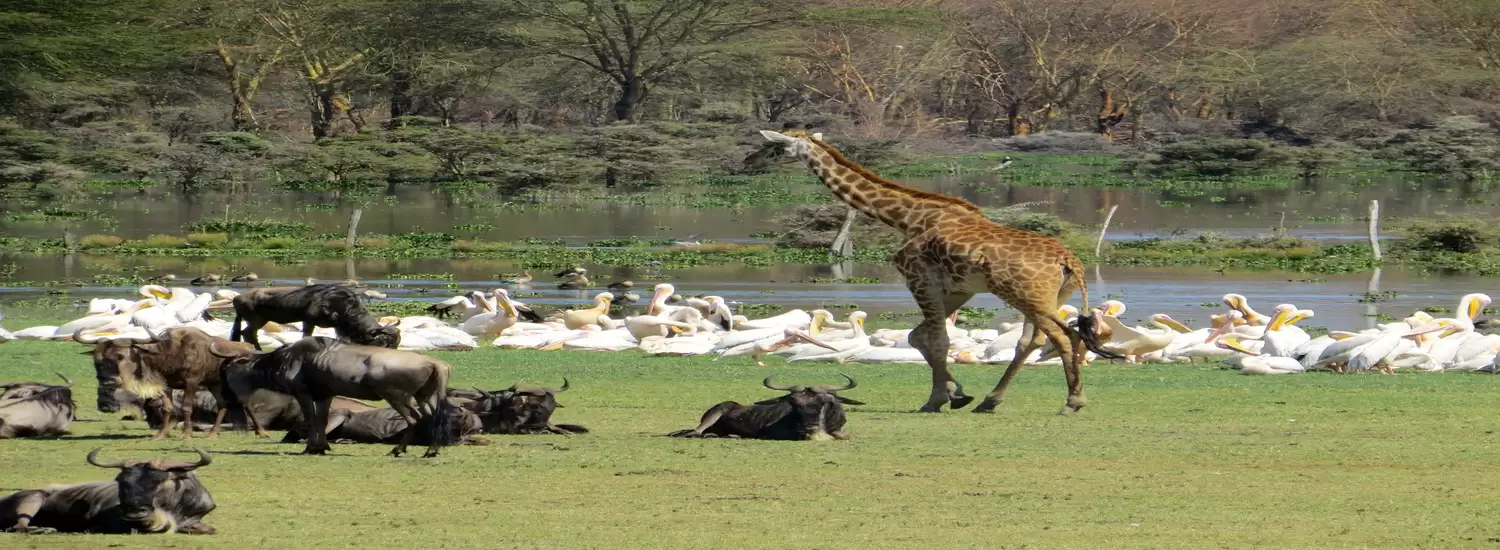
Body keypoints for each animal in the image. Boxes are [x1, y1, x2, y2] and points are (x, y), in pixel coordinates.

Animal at [746, 130, 1119, 414]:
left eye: (773, 146)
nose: (748, 160)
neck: (907, 217)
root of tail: (1069, 262)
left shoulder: (918, 277)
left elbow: (937, 339)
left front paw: (938, 399)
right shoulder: (957, 288)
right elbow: (918, 337)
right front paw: (957, 393)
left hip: (1028, 296)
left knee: (1063, 336)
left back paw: (1072, 401)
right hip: (1047, 297)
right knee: (1033, 340)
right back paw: (990, 401)